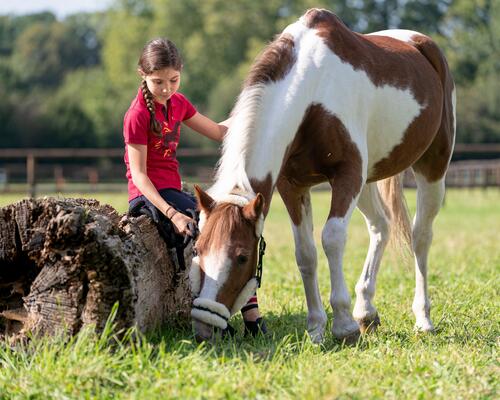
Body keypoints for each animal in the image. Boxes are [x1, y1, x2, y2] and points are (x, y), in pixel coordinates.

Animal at [189, 7, 456, 342]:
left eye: (241, 256)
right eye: (198, 249)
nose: (203, 327)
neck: (313, 90)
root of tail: (423, 45)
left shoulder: (347, 176)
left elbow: (332, 239)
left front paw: (343, 325)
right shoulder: (293, 186)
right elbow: (305, 253)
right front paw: (316, 327)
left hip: (431, 167)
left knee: (421, 236)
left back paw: (423, 318)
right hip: (368, 181)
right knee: (381, 227)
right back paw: (366, 311)